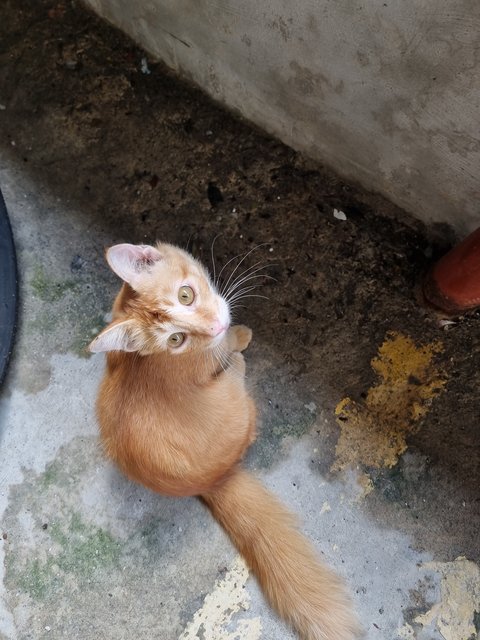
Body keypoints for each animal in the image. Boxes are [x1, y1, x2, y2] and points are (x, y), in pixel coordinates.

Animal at [89, 244, 360, 640]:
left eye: (186, 295)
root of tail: (214, 479)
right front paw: (237, 335)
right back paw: (237, 358)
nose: (215, 326)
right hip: (239, 403)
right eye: (176, 339)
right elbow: (227, 345)